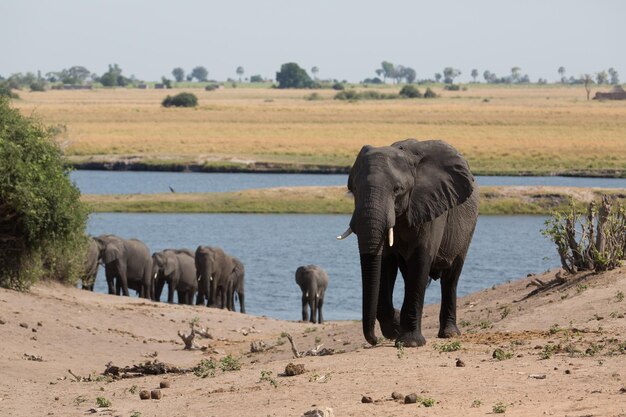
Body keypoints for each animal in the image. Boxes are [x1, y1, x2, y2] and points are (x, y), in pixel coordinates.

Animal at [336, 138, 478, 346]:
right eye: (353, 189)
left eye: (398, 190)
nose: (374, 340)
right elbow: (384, 264)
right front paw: (394, 329)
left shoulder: (430, 203)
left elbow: (420, 260)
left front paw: (409, 343)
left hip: (467, 228)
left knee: (451, 278)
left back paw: (449, 334)